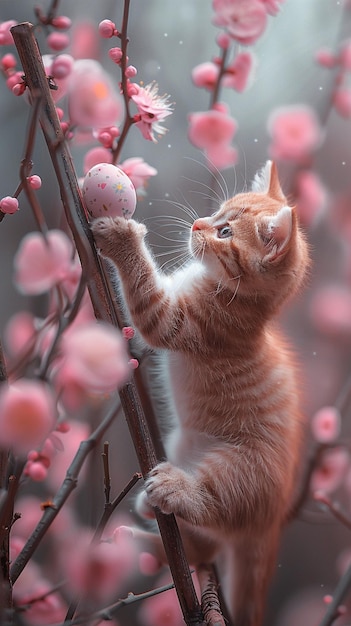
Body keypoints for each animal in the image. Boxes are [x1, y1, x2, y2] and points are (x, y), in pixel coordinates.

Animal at [92, 162, 310, 624]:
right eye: (217, 212)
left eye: (225, 232)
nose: (197, 224)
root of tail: (271, 522)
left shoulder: (176, 321)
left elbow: (145, 295)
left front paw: (122, 237)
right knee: (203, 547)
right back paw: (140, 531)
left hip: (239, 472)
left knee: (213, 512)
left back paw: (172, 495)